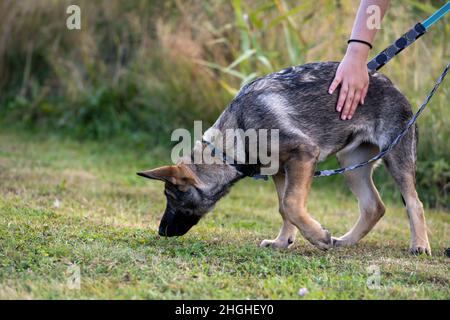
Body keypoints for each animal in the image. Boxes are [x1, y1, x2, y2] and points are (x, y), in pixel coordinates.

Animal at [138, 62, 432, 255]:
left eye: (172, 197)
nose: (161, 231)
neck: (238, 134)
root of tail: (391, 84)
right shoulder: (281, 171)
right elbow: (284, 207)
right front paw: (283, 242)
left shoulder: (304, 155)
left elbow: (291, 203)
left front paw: (316, 237)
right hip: (351, 165)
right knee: (374, 206)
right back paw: (347, 241)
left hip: (397, 156)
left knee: (414, 202)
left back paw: (419, 245)